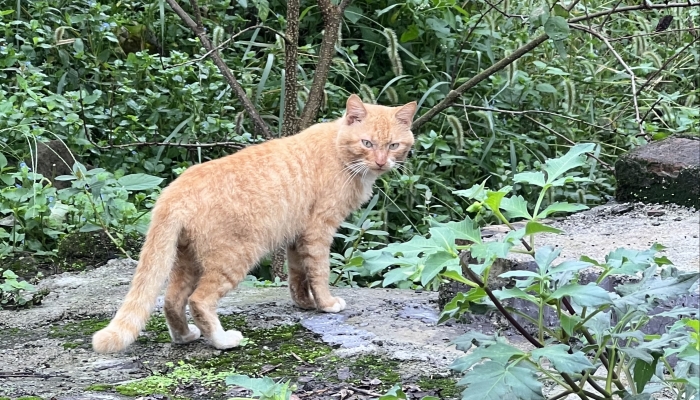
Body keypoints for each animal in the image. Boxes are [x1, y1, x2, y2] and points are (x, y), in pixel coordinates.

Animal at [91, 94, 416, 354]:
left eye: (393, 145)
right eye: (367, 143)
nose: (381, 162)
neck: (340, 152)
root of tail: (174, 191)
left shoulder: (297, 235)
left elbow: (297, 275)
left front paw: (304, 304)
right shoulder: (319, 230)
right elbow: (319, 272)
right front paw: (325, 304)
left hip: (187, 260)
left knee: (171, 300)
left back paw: (184, 337)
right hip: (234, 258)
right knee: (199, 301)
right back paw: (223, 341)